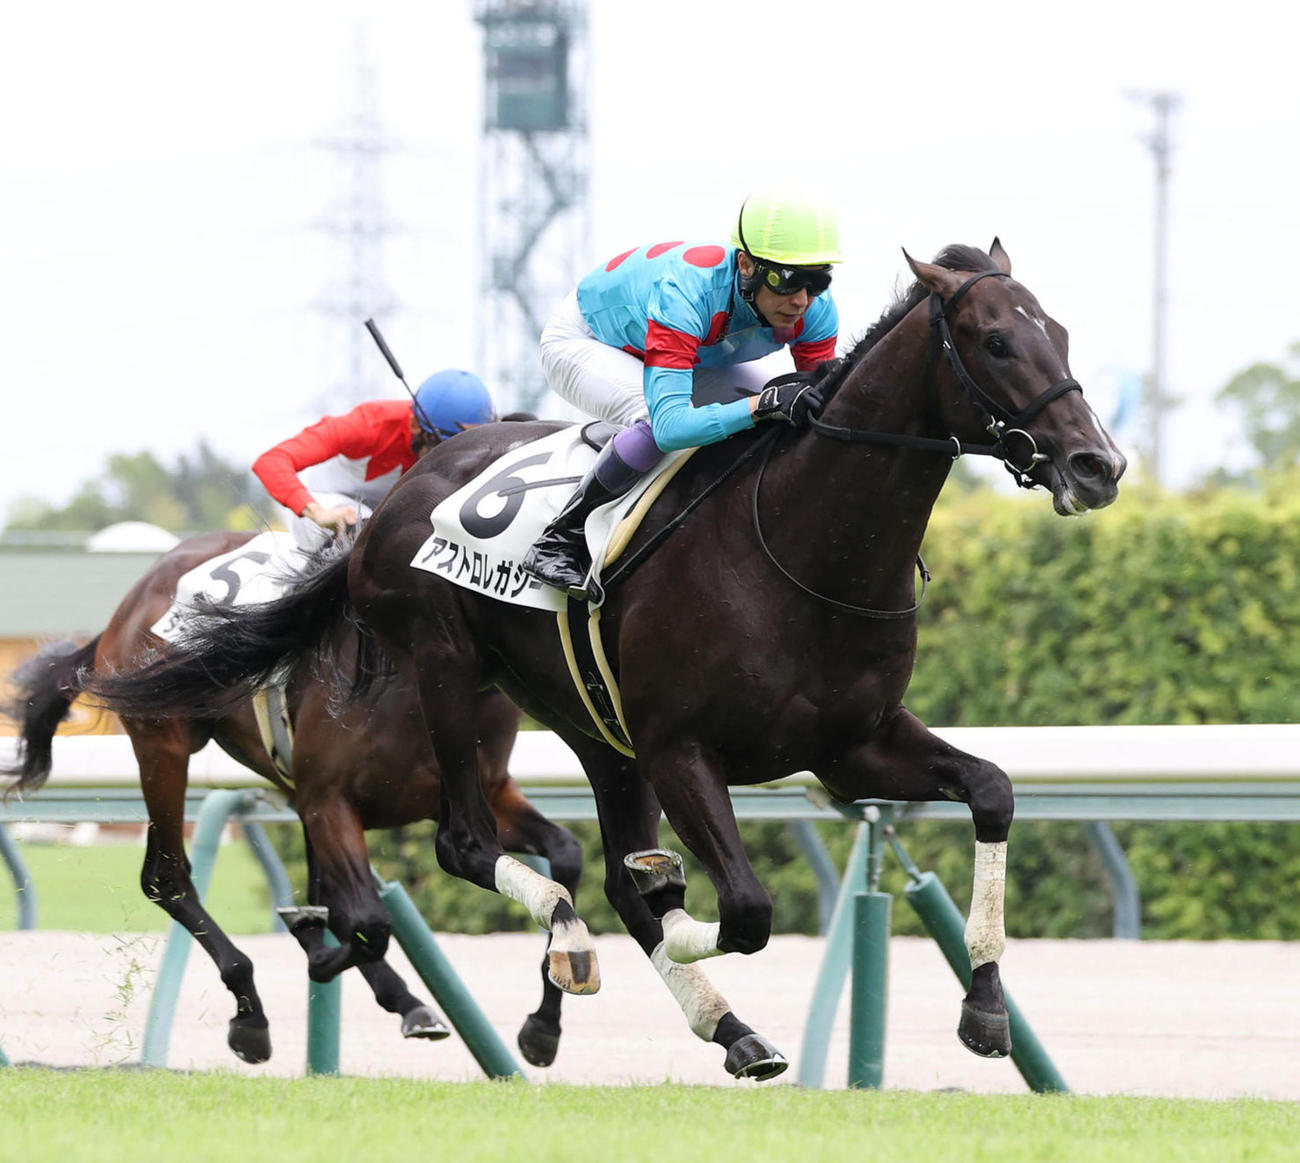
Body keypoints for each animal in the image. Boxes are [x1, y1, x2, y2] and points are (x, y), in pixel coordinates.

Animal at [4, 530, 582, 1069]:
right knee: (166, 877)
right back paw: (252, 1013)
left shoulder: (482, 796)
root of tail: (127, 606)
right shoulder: (329, 801)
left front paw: (543, 1026)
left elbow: (566, 856)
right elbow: (364, 920)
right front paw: (311, 951)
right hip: (163, 745)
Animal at [83, 241, 1126, 1079]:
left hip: (587, 722)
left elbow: (991, 790)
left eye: (1062, 332)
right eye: (994, 341)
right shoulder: (680, 747)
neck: (801, 543)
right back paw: (565, 944)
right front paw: (651, 914)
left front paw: (985, 1008)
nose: (1098, 464)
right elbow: (742, 908)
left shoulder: (852, 746)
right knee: (467, 847)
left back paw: (718, 1022)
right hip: (441, 667)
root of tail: (395, 498)